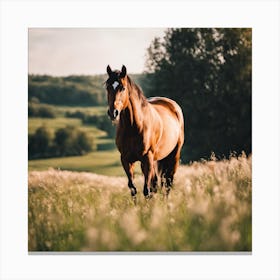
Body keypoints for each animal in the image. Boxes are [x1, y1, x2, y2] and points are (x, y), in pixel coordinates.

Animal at [105, 64, 184, 198]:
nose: (113, 112)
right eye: (107, 87)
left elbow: (146, 190)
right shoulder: (126, 160)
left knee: (168, 182)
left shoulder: (147, 159)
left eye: (123, 88)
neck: (134, 127)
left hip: (173, 156)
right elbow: (133, 188)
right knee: (157, 184)